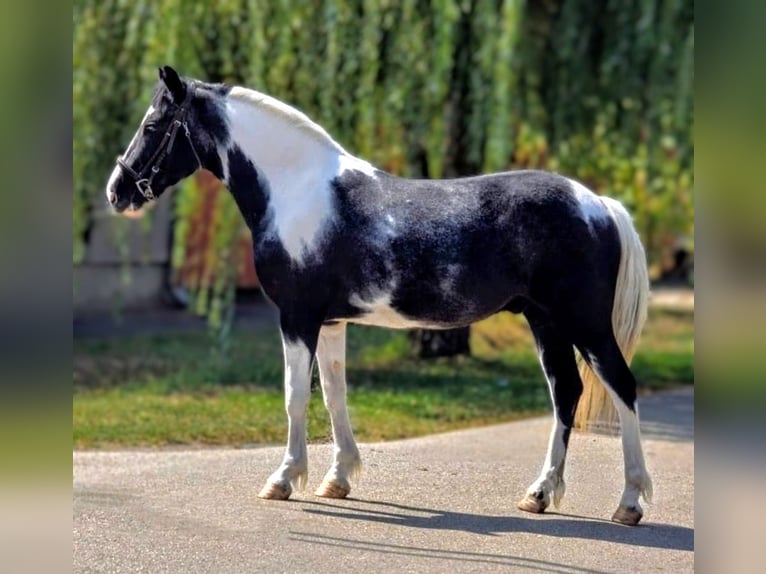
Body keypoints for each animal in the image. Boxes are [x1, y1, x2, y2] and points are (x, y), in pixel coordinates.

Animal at [106, 66, 653, 526]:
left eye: (153, 125)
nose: (117, 191)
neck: (297, 191)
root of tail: (598, 202)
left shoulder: (297, 318)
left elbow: (294, 397)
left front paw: (283, 480)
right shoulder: (331, 322)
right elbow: (334, 394)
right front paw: (337, 478)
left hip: (584, 323)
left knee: (622, 386)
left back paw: (628, 503)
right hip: (546, 321)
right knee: (567, 393)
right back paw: (538, 494)